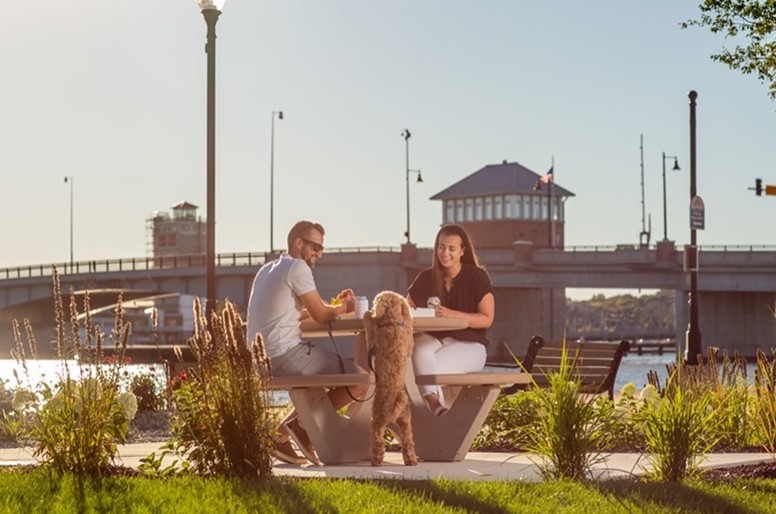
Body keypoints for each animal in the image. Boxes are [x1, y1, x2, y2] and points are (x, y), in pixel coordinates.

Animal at [364, 290, 418, 466]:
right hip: (406, 421)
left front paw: (367, 315)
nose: (371, 308)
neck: (392, 322)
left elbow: (369, 327)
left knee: (378, 440)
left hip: (377, 419)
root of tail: (396, 398)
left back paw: (376, 460)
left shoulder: (373, 341)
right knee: (408, 441)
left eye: (375, 301)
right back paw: (411, 460)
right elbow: (408, 320)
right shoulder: (409, 339)